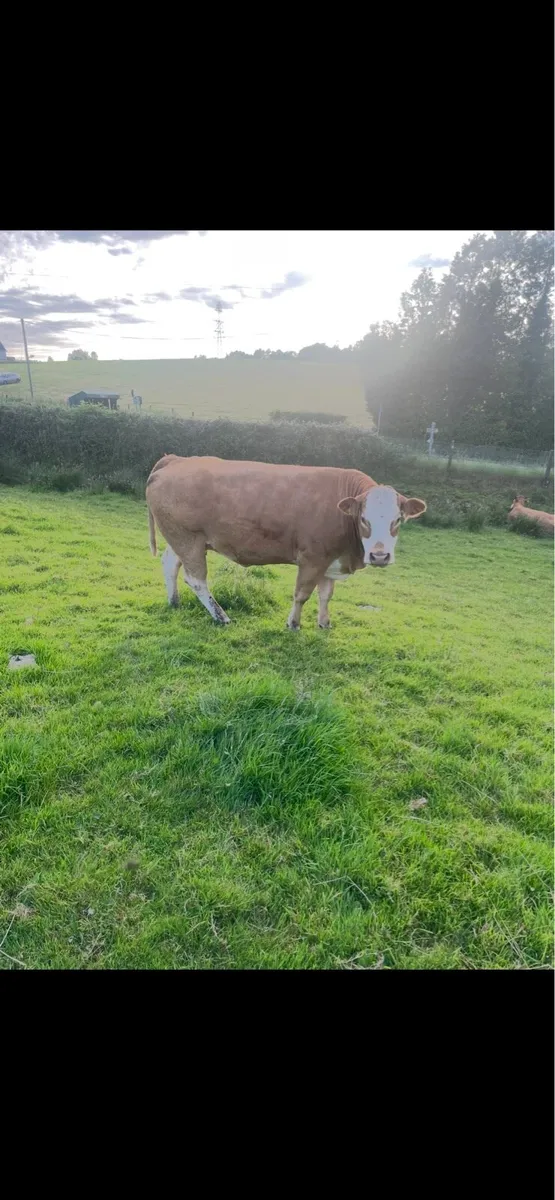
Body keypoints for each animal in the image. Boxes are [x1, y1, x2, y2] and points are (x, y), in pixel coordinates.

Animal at [146, 455, 427, 629]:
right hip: (189, 539)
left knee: (170, 564)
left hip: (180, 539)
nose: (380, 556)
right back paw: (220, 616)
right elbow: (302, 594)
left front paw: (324, 623)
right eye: (364, 519)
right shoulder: (312, 558)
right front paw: (293, 624)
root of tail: (176, 460)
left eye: (398, 520)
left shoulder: (331, 559)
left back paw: (174, 601)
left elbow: (326, 595)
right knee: (196, 580)